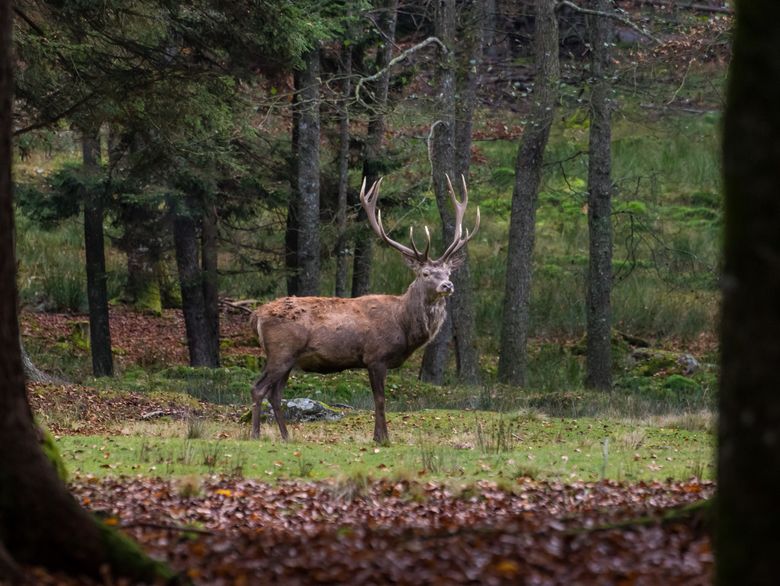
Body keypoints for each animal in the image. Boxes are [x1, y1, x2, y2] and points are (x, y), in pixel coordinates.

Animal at [250, 176, 478, 440]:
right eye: (426, 273)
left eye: (449, 272)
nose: (447, 285)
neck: (404, 324)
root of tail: (257, 315)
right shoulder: (376, 356)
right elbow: (380, 399)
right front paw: (382, 438)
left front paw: (380, 436)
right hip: (281, 351)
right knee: (258, 389)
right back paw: (255, 435)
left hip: (288, 358)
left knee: (275, 393)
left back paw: (286, 437)